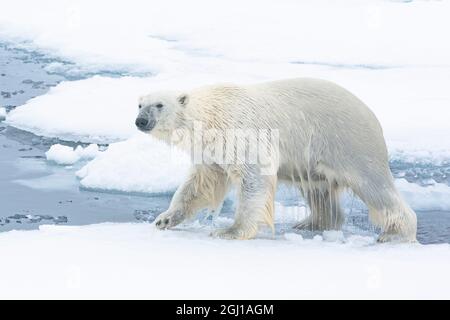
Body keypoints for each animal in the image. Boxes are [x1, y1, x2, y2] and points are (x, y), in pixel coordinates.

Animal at [135, 78, 416, 242]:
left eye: (159, 105)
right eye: (139, 104)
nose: (141, 121)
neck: (212, 114)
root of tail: (371, 114)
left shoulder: (242, 132)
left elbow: (253, 177)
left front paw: (230, 231)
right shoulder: (213, 149)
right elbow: (200, 183)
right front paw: (164, 219)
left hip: (349, 143)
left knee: (374, 186)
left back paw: (394, 233)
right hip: (314, 159)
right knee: (319, 190)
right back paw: (310, 223)